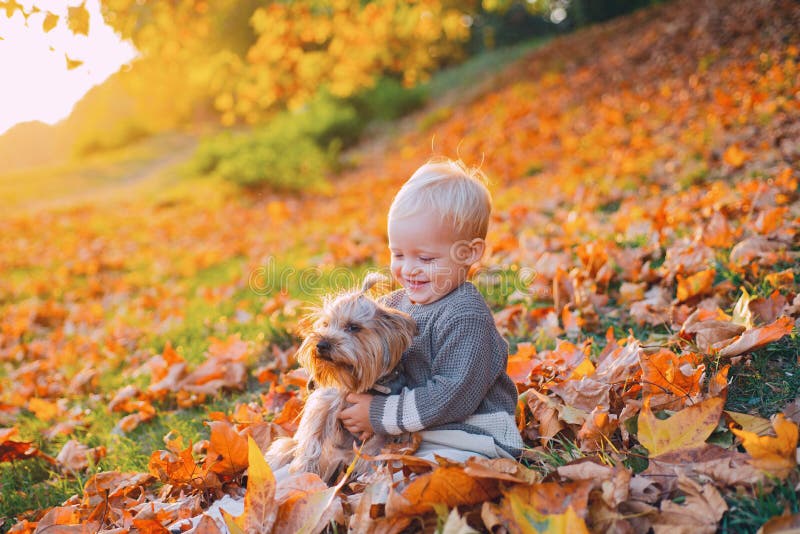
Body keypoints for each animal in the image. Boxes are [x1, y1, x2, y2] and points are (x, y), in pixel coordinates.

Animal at [268, 276, 418, 486]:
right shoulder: (324, 404)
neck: (352, 383)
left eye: (354, 327)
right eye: (325, 324)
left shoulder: (380, 435)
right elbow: (312, 442)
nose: (322, 344)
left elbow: (377, 448)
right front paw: (305, 471)